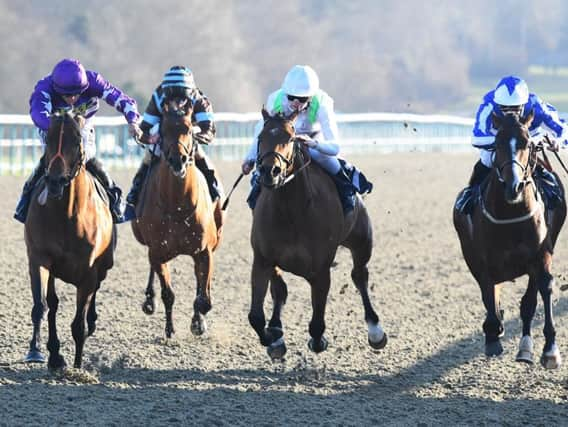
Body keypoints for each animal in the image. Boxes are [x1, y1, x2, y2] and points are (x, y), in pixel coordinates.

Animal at [24, 112, 116, 370]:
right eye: (49, 139)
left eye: (76, 141)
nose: (55, 181)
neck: (66, 215)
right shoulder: (40, 259)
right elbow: (42, 306)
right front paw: (40, 352)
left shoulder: (88, 271)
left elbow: (78, 324)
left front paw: (77, 367)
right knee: (53, 304)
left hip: (105, 265)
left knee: (96, 290)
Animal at [131, 99, 224, 338]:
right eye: (163, 131)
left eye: (190, 129)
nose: (177, 160)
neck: (178, 206)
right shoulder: (157, 251)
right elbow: (168, 293)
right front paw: (170, 328)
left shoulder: (204, 251)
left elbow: (203, 298)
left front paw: (198, 323)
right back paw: (149, 300)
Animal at [247, 108, 386, 360]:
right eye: (260, 137)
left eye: (291, 138)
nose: (269, 171)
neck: (291, 212)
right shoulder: (262, 260)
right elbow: (256, 316)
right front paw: (273, 338)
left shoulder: (320, 269)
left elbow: (317, 323)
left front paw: (318, 340)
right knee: (280, 290)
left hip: (362, 242)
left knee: (360, 276)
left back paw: (375, 331)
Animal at [454, 110, 564, 368]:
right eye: (497, 143)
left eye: (527, 143)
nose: (514, 186)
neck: (510, 214)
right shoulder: (480, 261)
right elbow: (489, 296)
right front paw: (493, 335)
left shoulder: (541, 254)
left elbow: (542, 290)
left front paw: (550, 350)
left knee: (528, 302)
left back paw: (525, 347)